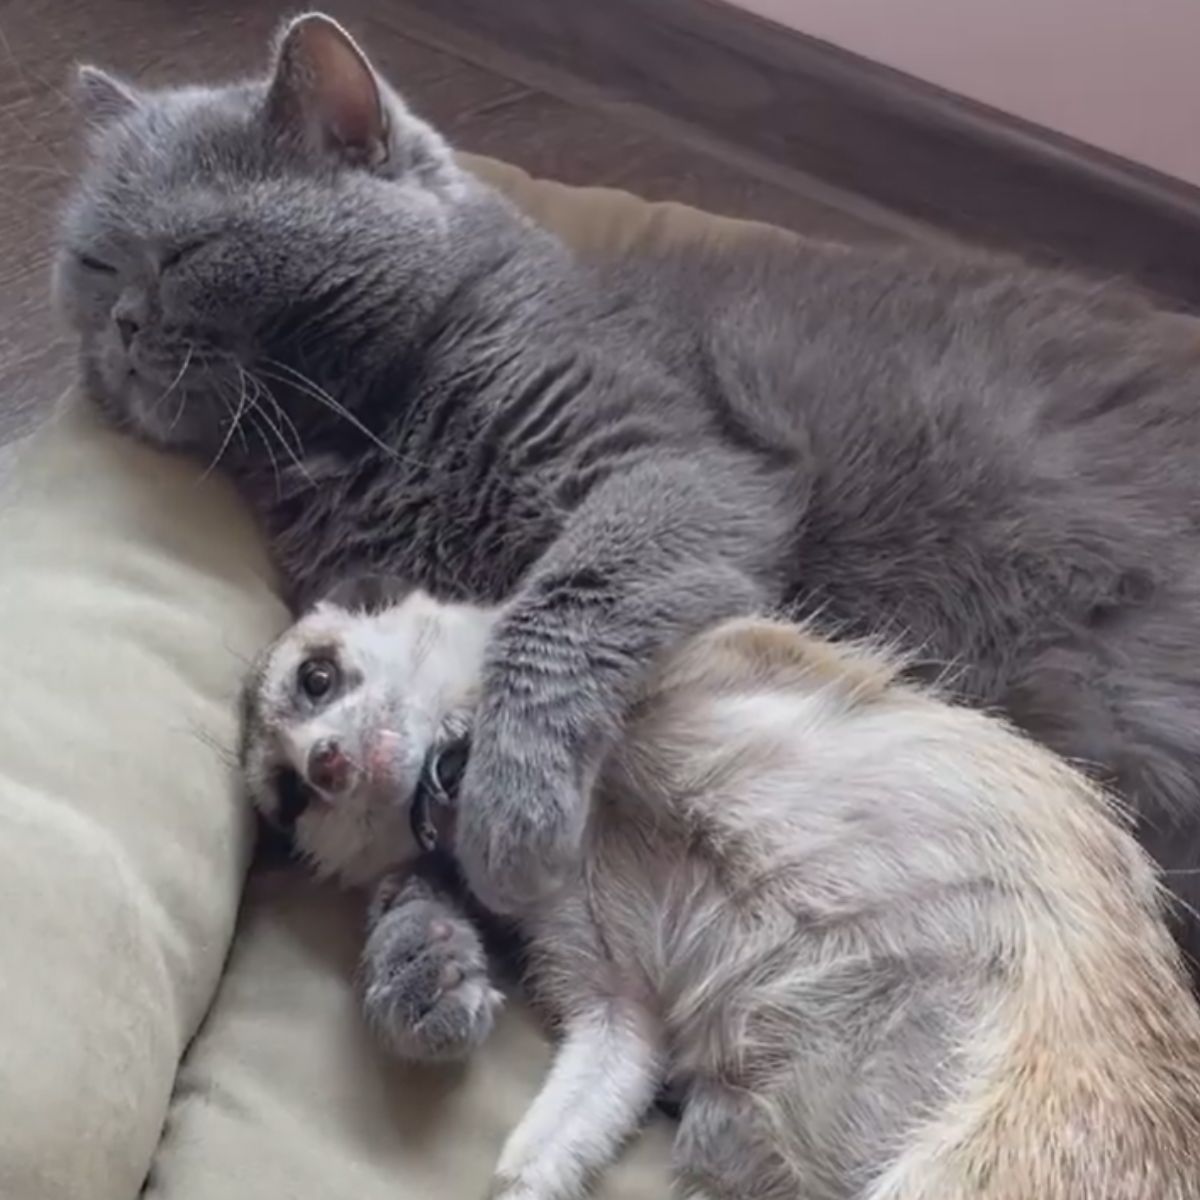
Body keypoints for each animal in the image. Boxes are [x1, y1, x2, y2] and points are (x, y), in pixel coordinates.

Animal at [60, 9, 1200, 1032]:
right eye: (93, 264)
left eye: (185, 251)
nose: (120, 322)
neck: (365, 439)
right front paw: (421, 959)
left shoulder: (677, 470)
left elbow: (560, 605)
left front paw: (512, 814)